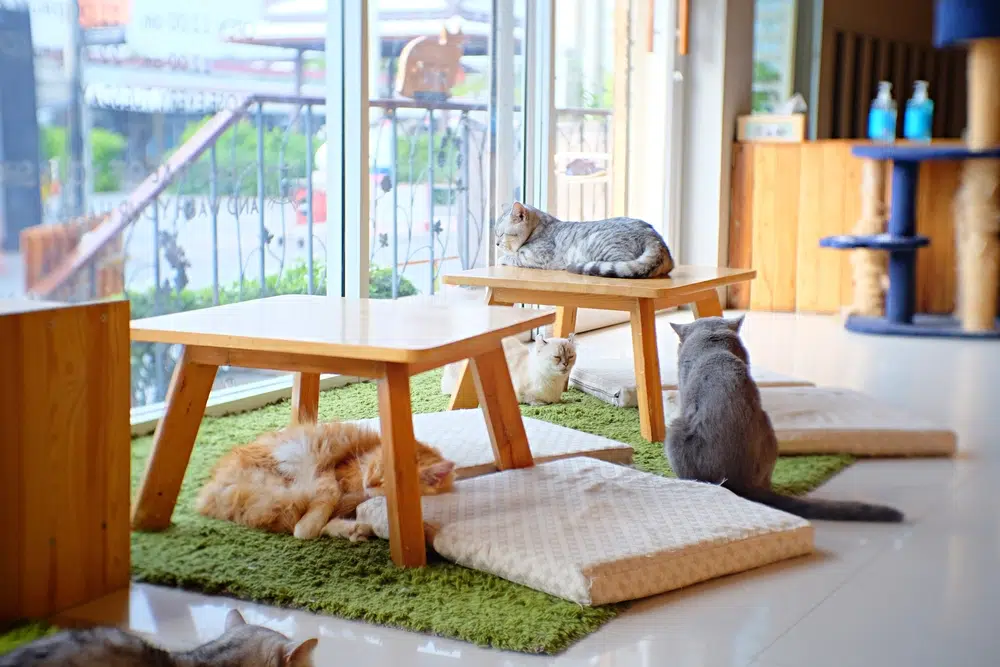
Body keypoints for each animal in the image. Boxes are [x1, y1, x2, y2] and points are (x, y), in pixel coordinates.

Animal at [197, 422, 456, 544]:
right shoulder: (333, 475)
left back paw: (355, 529)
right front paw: (311, 525)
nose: (370, 482)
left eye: (387, 481)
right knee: (303, 520)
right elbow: (324, 503)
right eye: (375, 468)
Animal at [440, 334, 576, 408]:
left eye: (570, 357)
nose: (565, 364)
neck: (554, 382)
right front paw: (540, 403)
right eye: (557, 357)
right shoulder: (519, 394)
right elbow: (532, 399)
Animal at [492, 201, 672, 280]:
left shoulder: (536, 257)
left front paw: (501, 258)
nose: (496, 243)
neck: (541, 227)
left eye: (501, 234)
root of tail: (654, 237)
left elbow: (512, 257)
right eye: (495, 234)